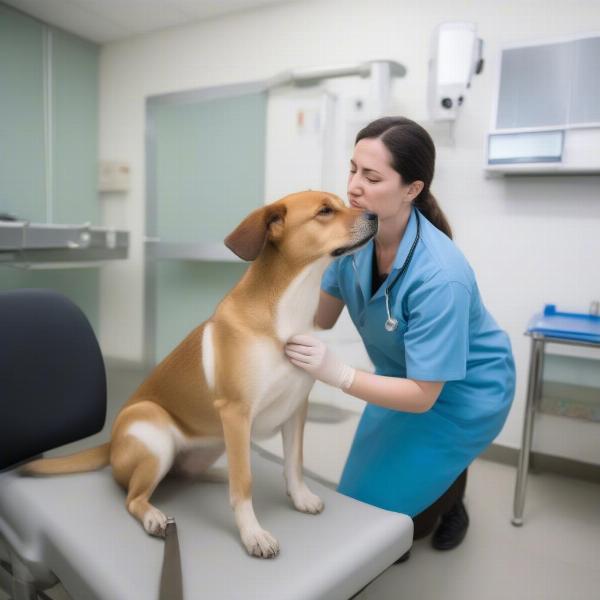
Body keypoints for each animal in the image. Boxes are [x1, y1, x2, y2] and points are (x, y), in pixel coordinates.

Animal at [24, 191, 380, 556]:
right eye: (324, 211)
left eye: (344, 202)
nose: (376, 216)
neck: (285, 315)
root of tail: (110, 445)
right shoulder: (236, 413)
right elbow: (245, 483)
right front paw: (252, 533)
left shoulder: (296, 409)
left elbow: (293, 463)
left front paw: (301, 497)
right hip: (156, 435)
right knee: (135, 497)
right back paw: (154, 515)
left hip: (211, 445)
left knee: (187, 473)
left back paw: (218, 474)